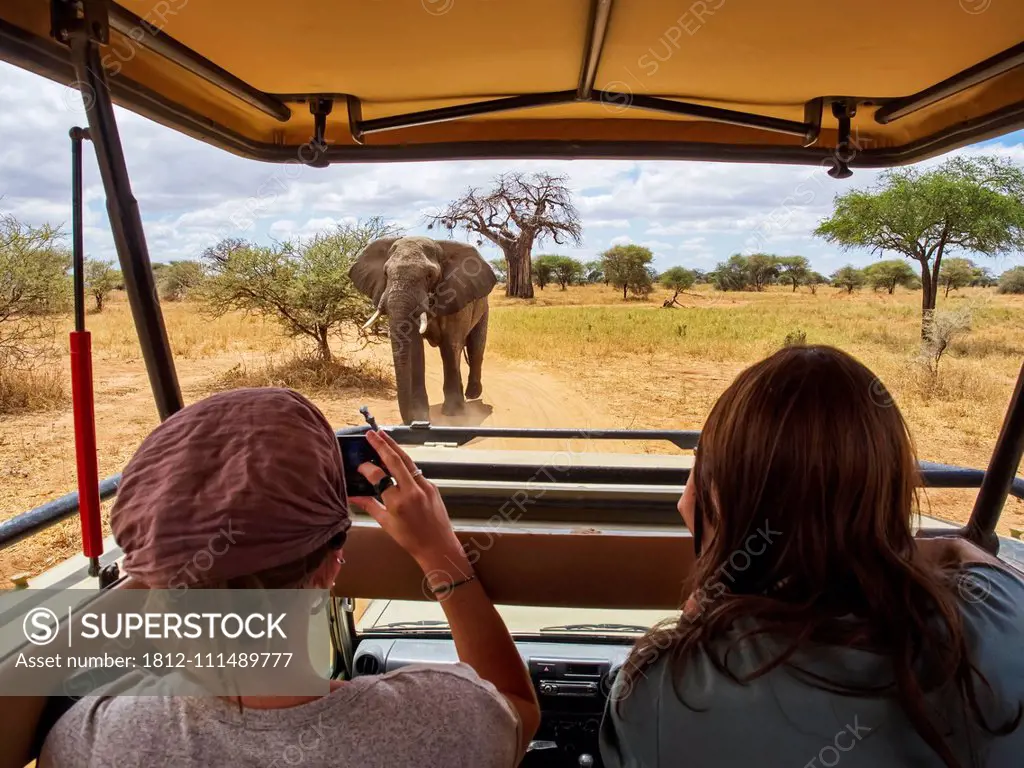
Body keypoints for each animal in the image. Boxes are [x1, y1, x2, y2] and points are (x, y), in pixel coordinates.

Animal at [350, 237, 497, 423]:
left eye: (429, 275)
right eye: (385, 273)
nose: (412, 421)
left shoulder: (455, 296)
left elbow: (450, 347)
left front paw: (452, 413)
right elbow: (414, 348)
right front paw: (421, 416)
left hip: (483, 306)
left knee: (474, 347)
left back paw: (472, 395)